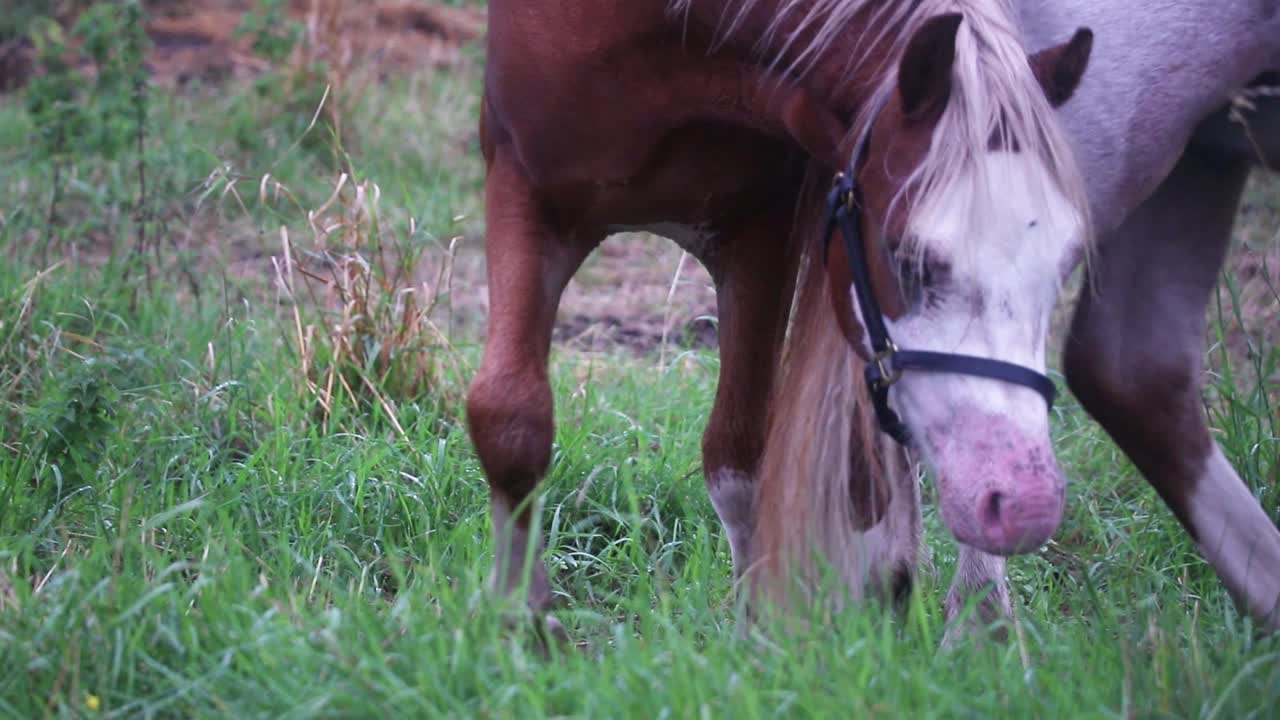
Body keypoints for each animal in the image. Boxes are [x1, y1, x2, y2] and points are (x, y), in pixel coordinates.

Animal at [466, 0, 1094, 637]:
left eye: (1066, 264)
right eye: (907, 258)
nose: (1026, 505)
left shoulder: (758, 228)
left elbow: (739, 457)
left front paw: (754, 635)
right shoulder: (525, 184)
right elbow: (509, 419)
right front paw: (521, 623)